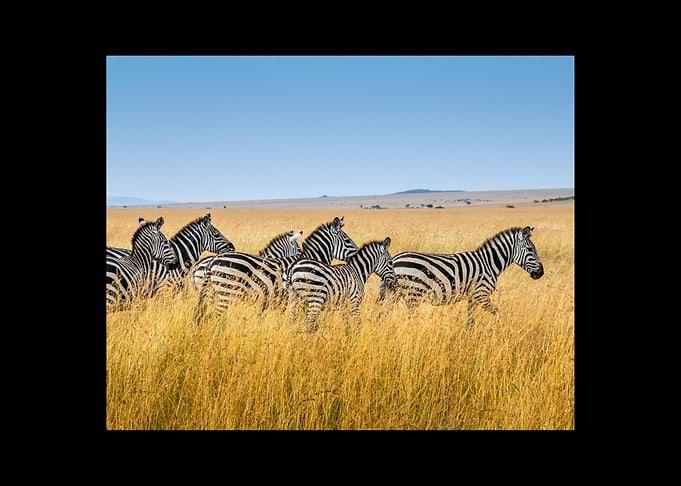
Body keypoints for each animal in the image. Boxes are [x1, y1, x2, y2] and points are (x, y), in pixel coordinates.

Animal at [378, 226, 544, 327]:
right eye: (530, 249)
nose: (541, 273)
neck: (489, 263)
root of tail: (395, 259)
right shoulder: (481, 294)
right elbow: (497, 313)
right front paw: (502, 331)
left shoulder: (472, 297)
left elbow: (470, 321)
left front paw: (468, 337)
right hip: (413, 294)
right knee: (410, 318)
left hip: (395, 295)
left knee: (383, 315)